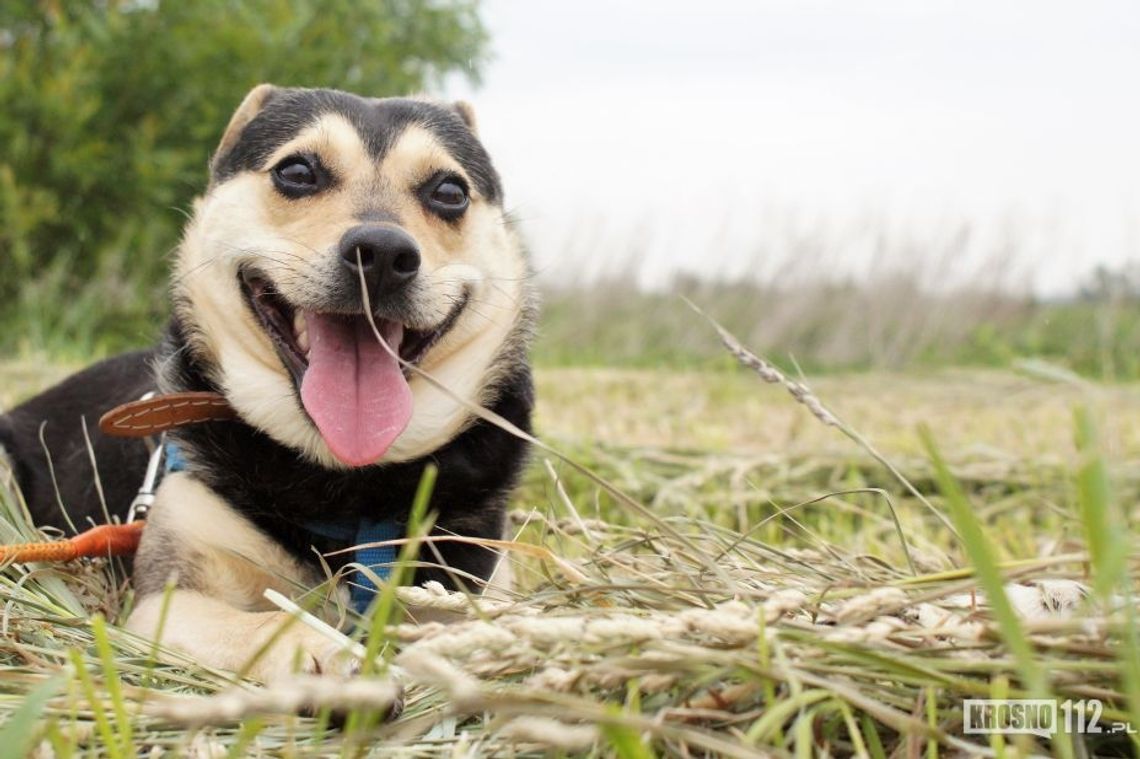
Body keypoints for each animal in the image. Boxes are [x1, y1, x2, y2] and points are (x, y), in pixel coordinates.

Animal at [0, 84, 533, 679]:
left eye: (450, 191)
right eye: (297, 172)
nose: (382, 254)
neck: (346, 479)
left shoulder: (482, 576)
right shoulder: (170, 600)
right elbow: (272, 621)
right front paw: (329, 653)